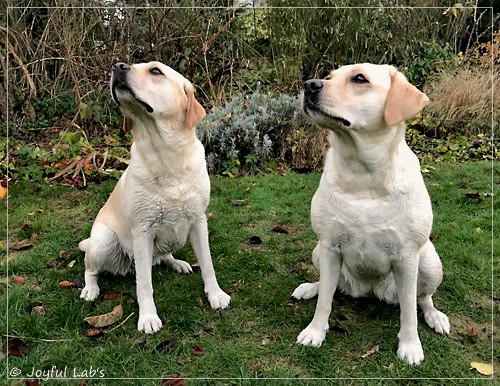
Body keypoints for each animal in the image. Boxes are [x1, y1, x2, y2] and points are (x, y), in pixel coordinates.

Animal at [79, 61, 230, 334]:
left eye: (155, 71)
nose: (118, 66)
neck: (166, 155)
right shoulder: (142, 231)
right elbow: (144, 284)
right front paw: (148, 317)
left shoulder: (198, 221)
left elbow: (208, 264)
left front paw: (215, 295)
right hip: (104, 240)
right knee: (91, 267)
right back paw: (90, 288)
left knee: (162, 257)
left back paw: (177, 263)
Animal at [292, 63, 452, 364]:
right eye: (329, 77)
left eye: (359, 79)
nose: (310, 85)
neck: (363, 177)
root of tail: (369, 290)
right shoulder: (329, 247)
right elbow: (324, 303)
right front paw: (315, 331)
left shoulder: (407, 257)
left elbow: (409, 312)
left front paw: (410, 346)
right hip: (318, 252)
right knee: (329, 286)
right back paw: (311, 287)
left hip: (430, 262)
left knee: (422, 298)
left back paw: (435, 316)